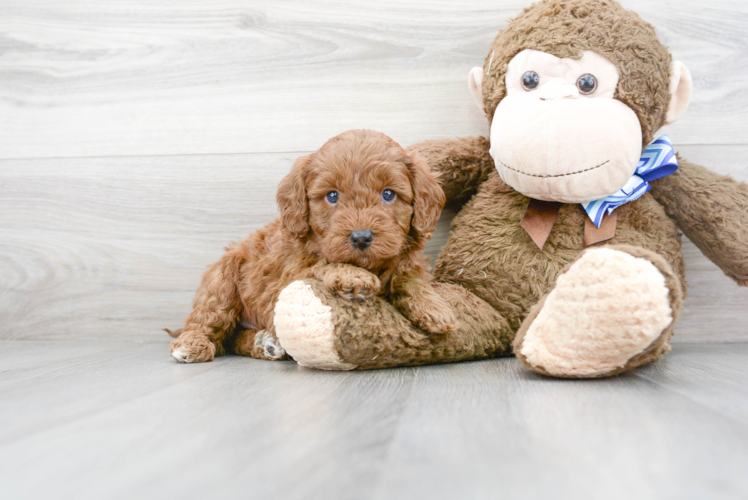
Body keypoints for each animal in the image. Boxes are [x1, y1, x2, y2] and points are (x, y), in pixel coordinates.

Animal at [168, 129, 456, 364]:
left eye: (388, 194)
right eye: (332, 196)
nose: (361, 237)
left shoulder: (407, 260)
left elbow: (409, 277)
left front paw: (435, 307)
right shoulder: (287, 278)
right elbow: (322, 263)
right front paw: (352, 275)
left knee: (233, 340)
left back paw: (265, 343)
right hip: (222, 280)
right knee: (208, 323)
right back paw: (192, 344)